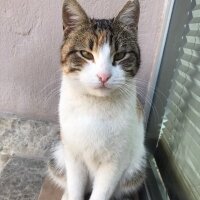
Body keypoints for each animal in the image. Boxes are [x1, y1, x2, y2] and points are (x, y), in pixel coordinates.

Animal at [47, 0, 146, 199]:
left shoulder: (115, 162)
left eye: (120, 55)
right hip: (58, 152)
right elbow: (75, 187)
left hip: (136, 169)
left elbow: (101, 192)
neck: (95, 106)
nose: (103, 76)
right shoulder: (73, 155)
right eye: (86, 54)